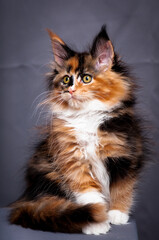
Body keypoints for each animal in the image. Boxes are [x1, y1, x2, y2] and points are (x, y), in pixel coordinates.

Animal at [9, 25, 145, 234]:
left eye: (86, 78)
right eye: (66, 79)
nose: (70, 90)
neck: (86, 116)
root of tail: (28, 196)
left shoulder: (124, 152)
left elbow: (122, 187)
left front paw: (117, 214)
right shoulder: (71, 157)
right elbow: (88, 192)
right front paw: (97, 222)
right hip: (49, 175)